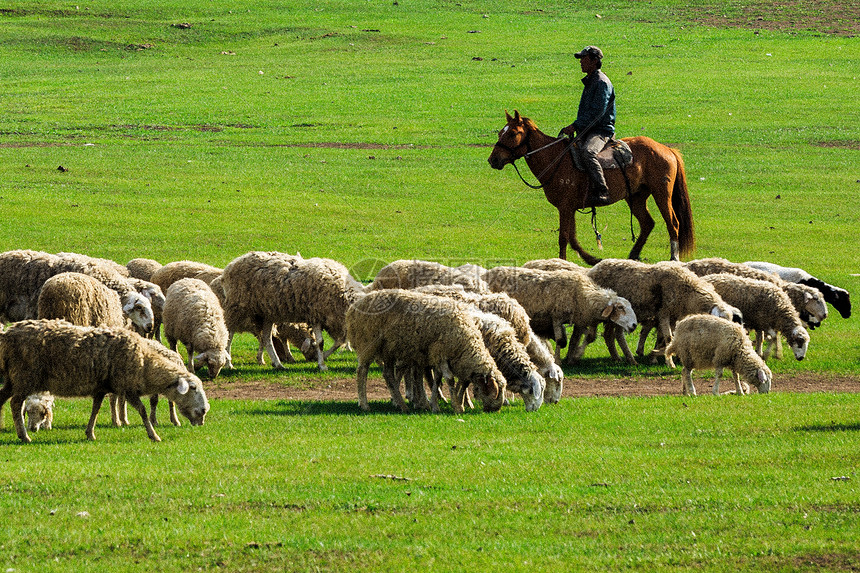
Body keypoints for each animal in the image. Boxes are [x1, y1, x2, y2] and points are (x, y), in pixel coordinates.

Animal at [0, 318, 208, 442]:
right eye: (193, 387)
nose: (204, 412)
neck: (145, 364)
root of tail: (8, 335)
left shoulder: (102, 387)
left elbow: (96, 409)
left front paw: (90, 433)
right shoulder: (127, 387)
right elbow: (142, 410)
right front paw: (153, 435)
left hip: (12, 378)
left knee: (2, 399)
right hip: (25, 376)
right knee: (15, 404)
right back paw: (24, 436)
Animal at [220, 251, 364, 368]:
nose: (311, 358)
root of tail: (231, 265)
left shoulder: (328, 318)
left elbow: (337, 342)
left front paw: (321, 359)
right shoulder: (316, 315)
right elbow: (321, 342)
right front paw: (322, 364)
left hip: (266, 313)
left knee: (266, 339)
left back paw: (278, 364)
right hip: (237, 306)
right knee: (229, 334)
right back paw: (228, 364)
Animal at [346, 288, 508, 414]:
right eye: (495, 391)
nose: (495, 410)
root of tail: (355, 306)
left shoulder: (435, 356)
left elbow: (438, 380)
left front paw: (435, 405)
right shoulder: (440, 353)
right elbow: (448, 379)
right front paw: (455, 406)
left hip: (389, 349)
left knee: (388, 375)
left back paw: (402, 406)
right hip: (368, 342)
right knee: (362, 371)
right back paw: (364, 404)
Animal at [488, 110, 696, 264]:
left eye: (513, 133)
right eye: (500, 133)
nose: (493, 160)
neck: (555, 159)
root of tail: (667, 149)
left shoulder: (565, 207)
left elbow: (563, 237)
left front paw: (563, 263)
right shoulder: (569, 208)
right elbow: (572, 238)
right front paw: (592, 259)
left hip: (662, 194)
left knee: (673, 223)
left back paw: (673, 258)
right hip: (635, 197)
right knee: (647, 223)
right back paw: (633, 255)